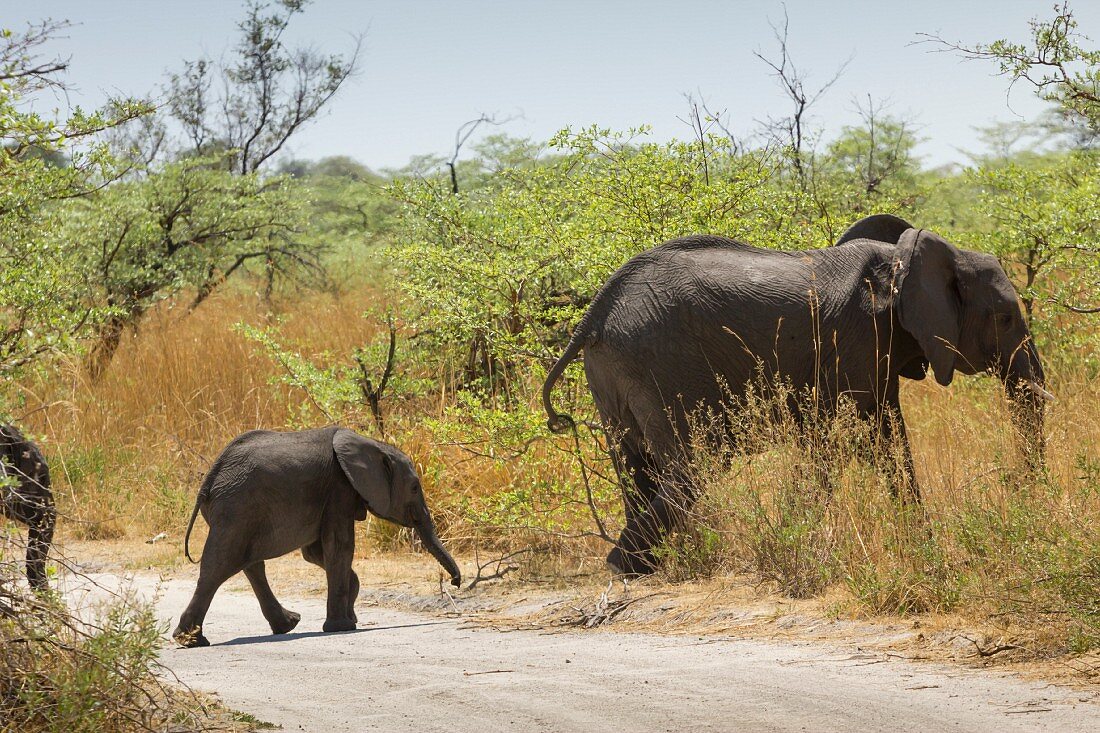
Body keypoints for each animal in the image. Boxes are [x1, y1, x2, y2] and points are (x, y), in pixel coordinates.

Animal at [172, 424, 464, 647]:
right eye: (414, 488)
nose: (455, 583)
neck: (373, 444)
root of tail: (210, 477)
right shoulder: (339, 488)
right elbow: (339, 546)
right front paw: (342, 627)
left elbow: (314, 553)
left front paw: (351, 613)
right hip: (237, 509)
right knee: (219, 566)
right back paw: (192, 641)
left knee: (250, 564)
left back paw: (285, 625)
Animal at [541, 214, 1047, 572]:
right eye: (1005, 317)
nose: (1018, 488)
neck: (901, 259)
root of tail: (595, 313)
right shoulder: (855, 339)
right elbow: (827, 440)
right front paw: (796, 536)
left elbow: (888, 439)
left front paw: (921, 544)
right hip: (663, 363)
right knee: (692, 465)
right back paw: (629, 566)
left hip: (615, 370)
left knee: (635, 465)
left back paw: (639, 566)